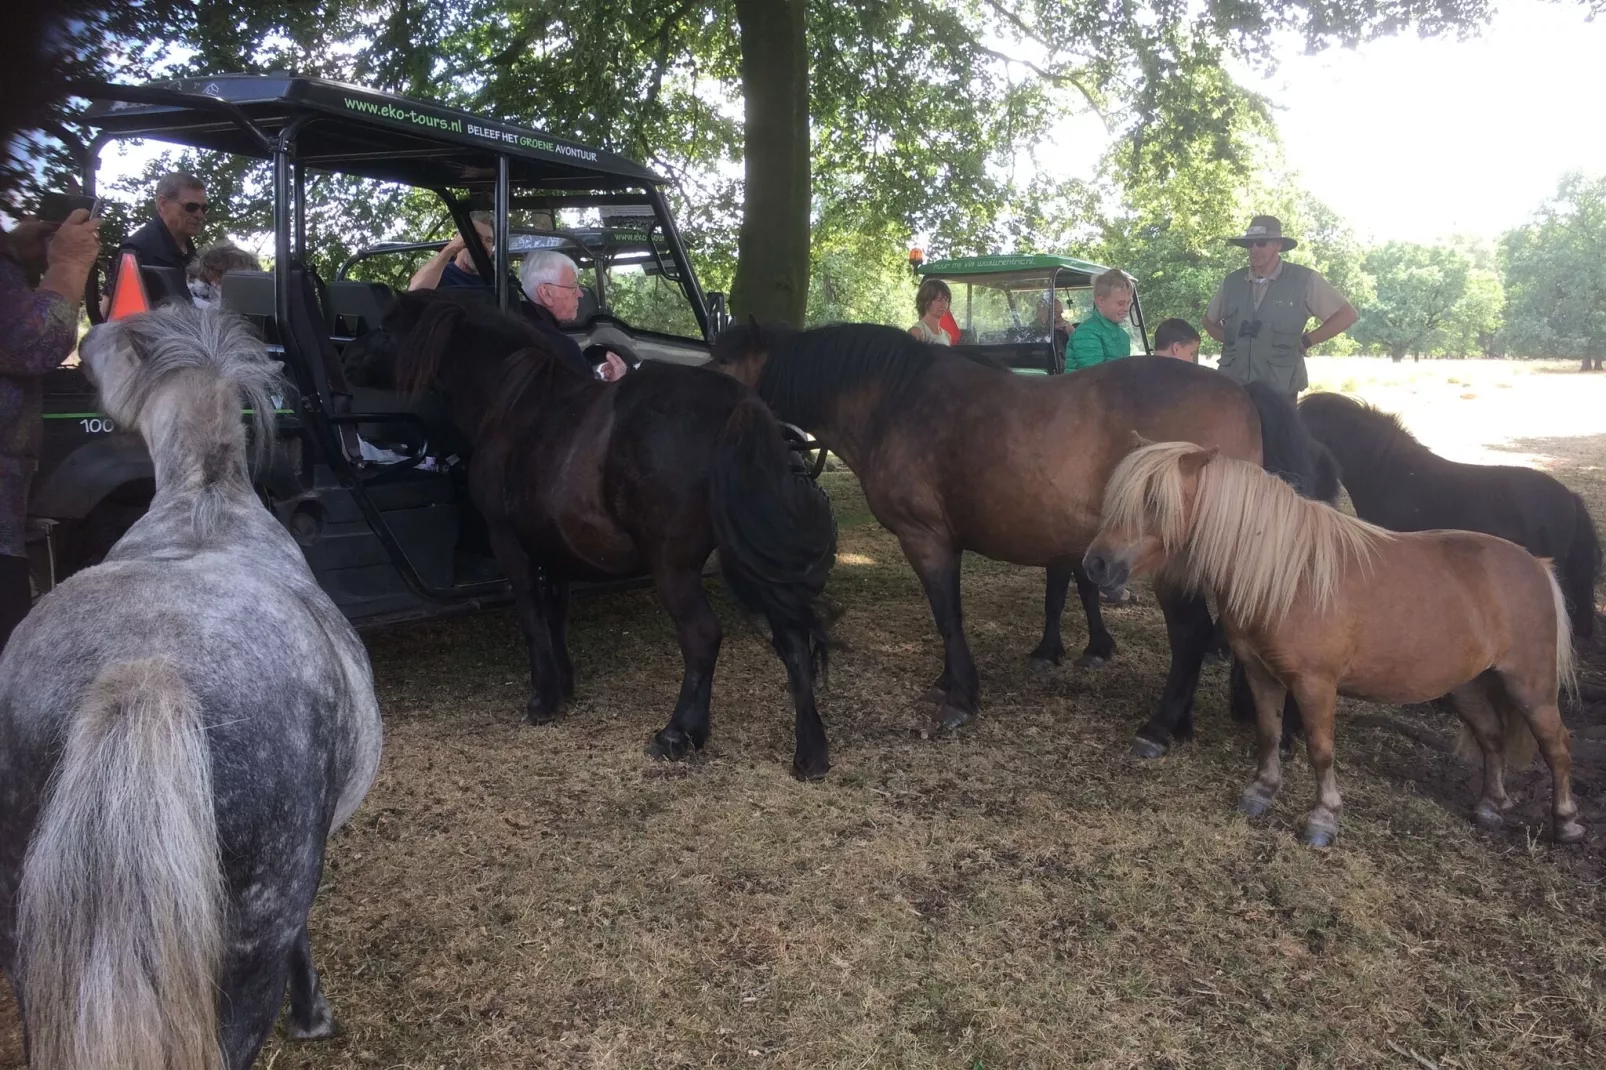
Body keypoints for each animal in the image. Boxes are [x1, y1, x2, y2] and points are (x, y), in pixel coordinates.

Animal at [367, 292, 835, 774]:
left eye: (382, 330)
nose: (348, 363)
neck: (514, 403)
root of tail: (741, 406)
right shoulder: (552, 547)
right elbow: (554, 613)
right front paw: (563, 685)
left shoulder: (509, 542)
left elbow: (531, 614)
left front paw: (543, 699)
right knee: (791, 637)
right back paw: (810, 752)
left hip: (675, 565)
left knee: (704, 636)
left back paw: (678, 733)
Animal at [713, 321, 1329, 755]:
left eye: (720, 364)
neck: (893, 399)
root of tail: (1243, 393)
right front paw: (950, 681)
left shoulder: (926, 538)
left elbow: (948, 615)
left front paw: (961, 695)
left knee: (1191, 635)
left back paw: (1158, 728)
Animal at [1079, 436, 1580, 848]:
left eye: (1154, 501)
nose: (1097, 564)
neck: (1287, 574)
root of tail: (1537, 566)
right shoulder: (1260, 672)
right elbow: (1268, 733)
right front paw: (1261, 793)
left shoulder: (1315, 685)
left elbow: (1320, 751)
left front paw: (1323, 819)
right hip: (1469, 686)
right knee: (1492, 738)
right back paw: (1490, 808)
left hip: (1530, 688)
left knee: (1556, 745)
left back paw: (1566, 822)